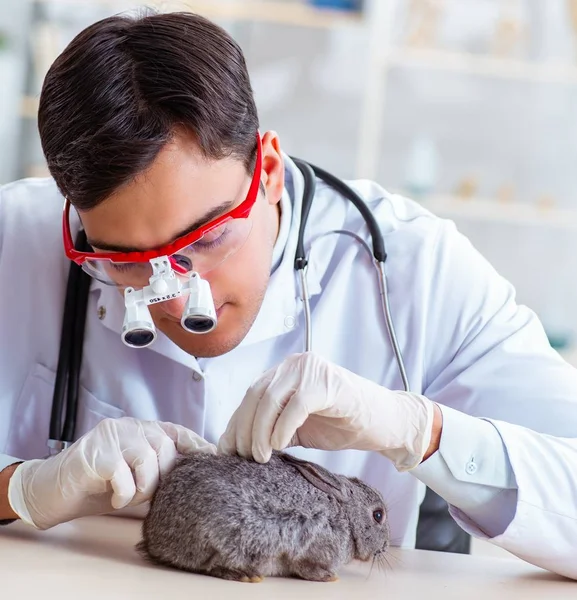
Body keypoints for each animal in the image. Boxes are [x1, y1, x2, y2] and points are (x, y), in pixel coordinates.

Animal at [136, 452, 390, 584]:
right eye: (378, 515)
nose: (386, 546)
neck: (347, 516)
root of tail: (152, 538)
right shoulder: (314, 547)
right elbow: (306, 566)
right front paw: (329, 578)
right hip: (220, 538)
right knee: (207, 566)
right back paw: (244, 575)